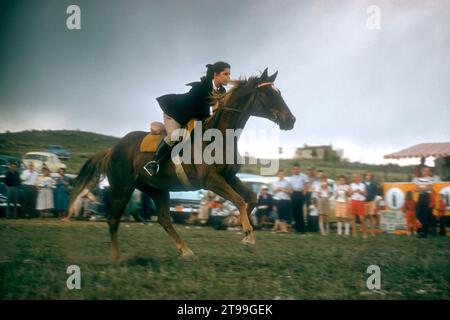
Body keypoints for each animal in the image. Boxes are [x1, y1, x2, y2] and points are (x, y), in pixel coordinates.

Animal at [69, 68, 296, 260]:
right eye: (268, 94)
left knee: (164, 219)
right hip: (122, 187)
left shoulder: (229, 177)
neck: (220, 136)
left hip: (156, 189)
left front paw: (235, 225)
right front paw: (247, 235)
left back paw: (186, 251)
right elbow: (239, 200)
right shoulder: (211, 180)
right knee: (113, 219)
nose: (291, 120)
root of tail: (112, 149)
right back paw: (117, 258)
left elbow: (251, 198)